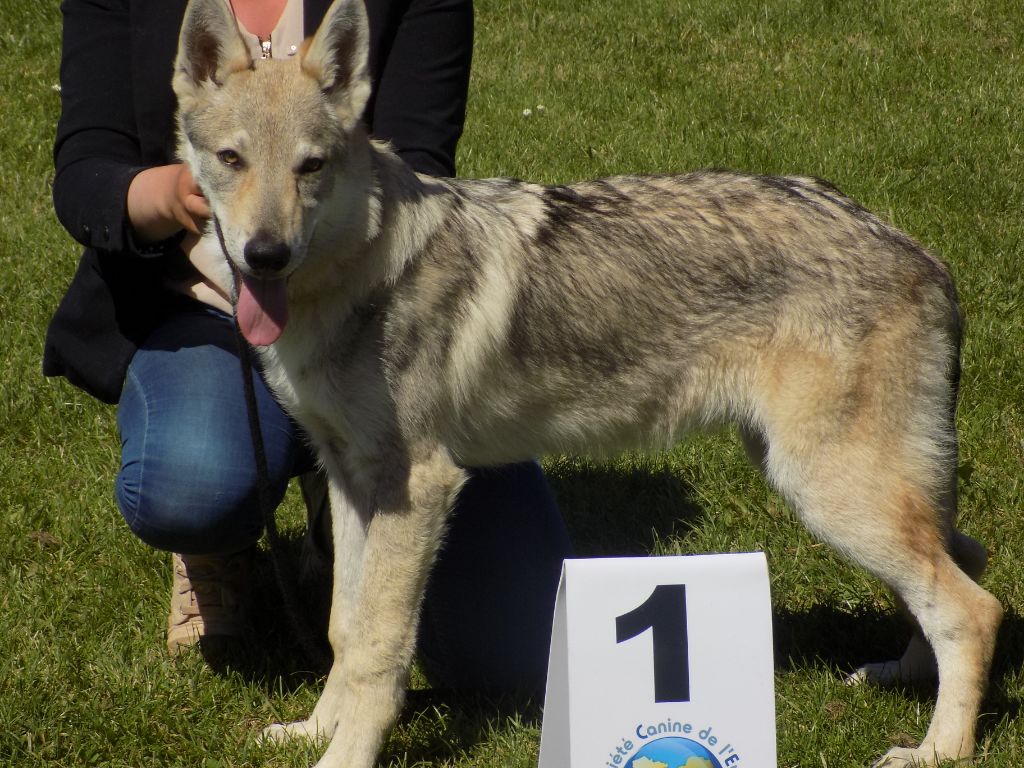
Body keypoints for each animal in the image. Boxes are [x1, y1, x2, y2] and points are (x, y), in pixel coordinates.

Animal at [172, 0, 1003, 765]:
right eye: (231, 160)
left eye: (310, 166)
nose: (265, 254)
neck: (356, 275)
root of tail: (926, 257)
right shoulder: (348, 479)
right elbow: (345, 629)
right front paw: (311, 731)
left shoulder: (418, 487)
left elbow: (380, 646)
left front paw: (344, 756)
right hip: (837, 487)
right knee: (961, 564)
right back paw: (901, 679)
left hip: (828, 493)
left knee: (975, 607)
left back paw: (938, 749)